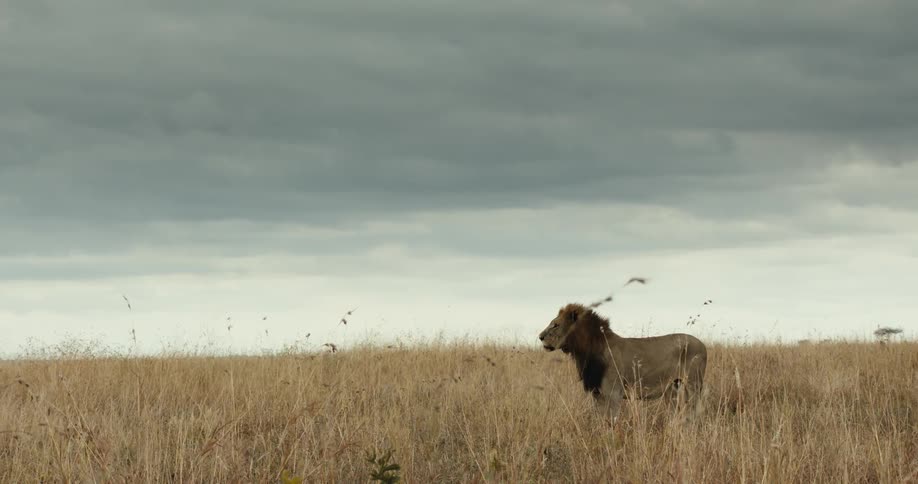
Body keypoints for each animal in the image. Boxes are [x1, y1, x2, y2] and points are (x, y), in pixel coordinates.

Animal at [538, 303, 707, 421]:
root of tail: (703, 345)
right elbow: (600, 421)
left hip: (693, 384)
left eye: (555, 325)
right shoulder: (597, 394)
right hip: (673, 388)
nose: (540, 337)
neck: (585, 351)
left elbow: (612, 420)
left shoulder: (613, 393)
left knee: (695, 412)